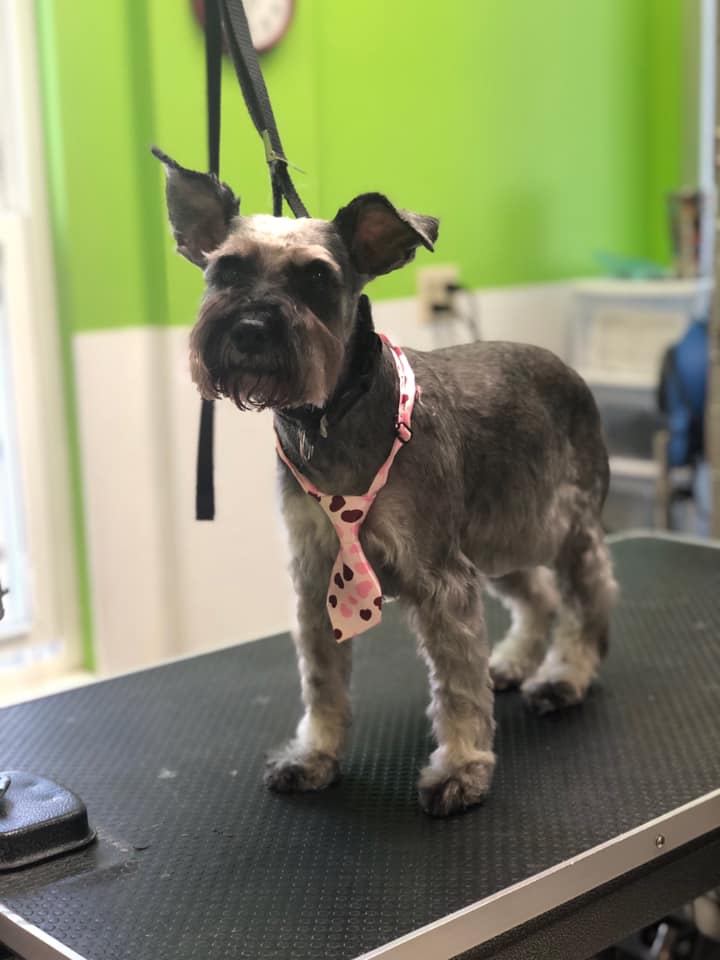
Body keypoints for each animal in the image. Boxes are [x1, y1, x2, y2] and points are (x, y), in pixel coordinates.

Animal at [154, 148, 617, 817]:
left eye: (316, 279)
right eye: (226, 271)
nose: (250, 329)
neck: (332, 415)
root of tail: (565, 368)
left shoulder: (440, 577)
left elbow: (456, 687)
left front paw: (462, 768)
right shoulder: (317, 579)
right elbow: (322, 682)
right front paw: (315, 755)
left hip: (560, 527)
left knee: (589, 598)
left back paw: (564, 676)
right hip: (494, 537)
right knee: (538, 596)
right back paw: (511, 661)